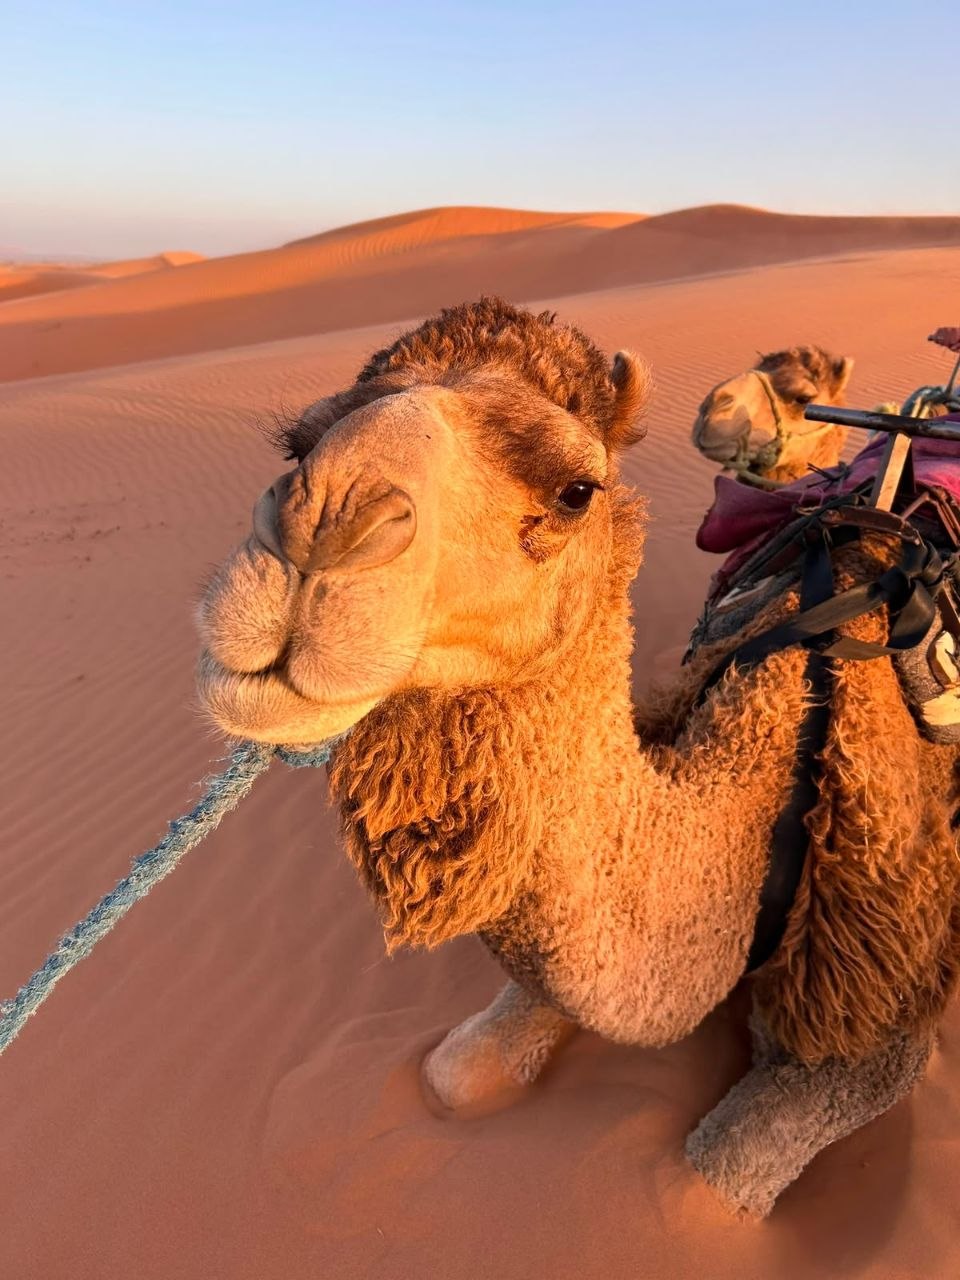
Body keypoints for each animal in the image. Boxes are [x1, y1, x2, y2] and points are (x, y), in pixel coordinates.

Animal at [196, 299, 960, 1217]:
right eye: (297, 444)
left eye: (576, 490)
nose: (318, 527)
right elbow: (456, 1072)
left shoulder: (875, 1010)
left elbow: (706, 1179)